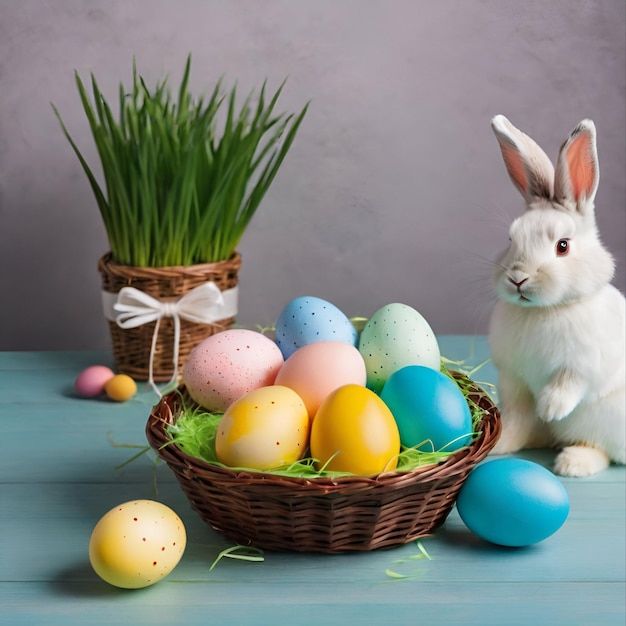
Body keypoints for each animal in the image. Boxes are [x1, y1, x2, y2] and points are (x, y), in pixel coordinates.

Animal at [488, 114, 624, 476]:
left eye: (562, 246)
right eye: (510, 239)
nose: (518, 279)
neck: (546, 310)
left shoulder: (585, 365)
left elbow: (570, 383)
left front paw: (550, 406)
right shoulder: (514, 382)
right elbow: (517, 413)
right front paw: (504, 435)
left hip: (607, 421)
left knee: (599, 447)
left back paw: (572, 462)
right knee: (526, 429)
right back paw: (503, 444)